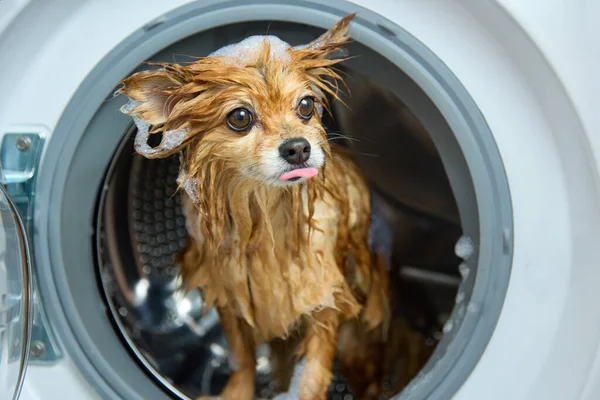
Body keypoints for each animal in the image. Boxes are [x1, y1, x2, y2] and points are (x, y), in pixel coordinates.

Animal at [118, 14, 394, 398]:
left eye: (306, 106)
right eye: (240, 117)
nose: (298, 147)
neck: (265, 214)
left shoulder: (324, 298)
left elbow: (313, 368)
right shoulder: (229, 295)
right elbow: (243, 358)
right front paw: (237, 391)